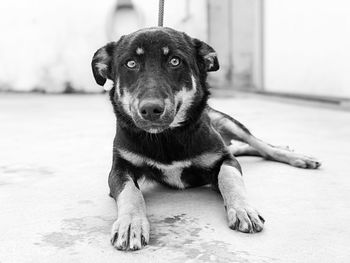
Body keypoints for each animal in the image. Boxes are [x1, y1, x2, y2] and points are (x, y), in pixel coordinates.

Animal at [91, 26, 322, 252]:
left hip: (226, 121)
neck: (167, 137)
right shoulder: (120, 168)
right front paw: (131, 223)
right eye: (130, 63)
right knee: (242, 147)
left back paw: (296, 156)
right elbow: (130, 192)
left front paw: (242, 209)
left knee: (259, 145)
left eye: (175, 61)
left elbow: (229, 178)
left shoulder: (224, 159)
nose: (150, 109)